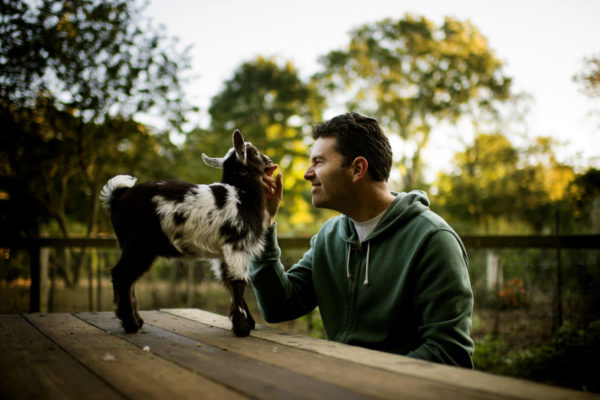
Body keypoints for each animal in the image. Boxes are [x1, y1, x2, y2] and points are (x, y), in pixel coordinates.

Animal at [99, 130, 276, 336]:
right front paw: (242, 328)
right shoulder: (237, 245)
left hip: (132, 245)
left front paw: (247, 321)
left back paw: (136, 321)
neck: (242, 194)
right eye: (254, 153)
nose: (269, 159)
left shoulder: (223, 253)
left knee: (129, 279)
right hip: (139, 244)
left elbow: (228, 282)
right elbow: (239, 282)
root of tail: (117, 197)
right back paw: (130, 324)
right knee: (121, 275)